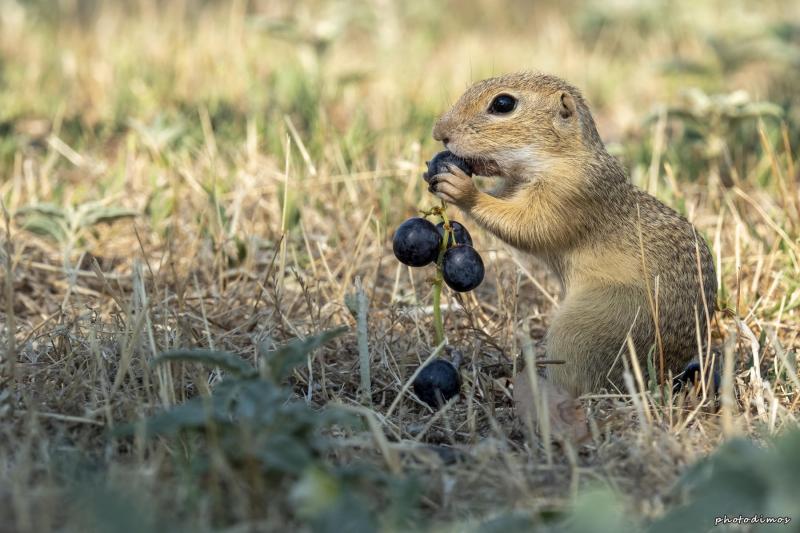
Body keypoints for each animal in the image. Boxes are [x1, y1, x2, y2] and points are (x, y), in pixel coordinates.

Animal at [428, 71, 716, 394]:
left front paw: (462, 189)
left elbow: (527, 225)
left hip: (582, 330)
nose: (439, 132)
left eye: (503, 104)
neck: (560, 158)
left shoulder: (568, 194)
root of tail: (667, 375)